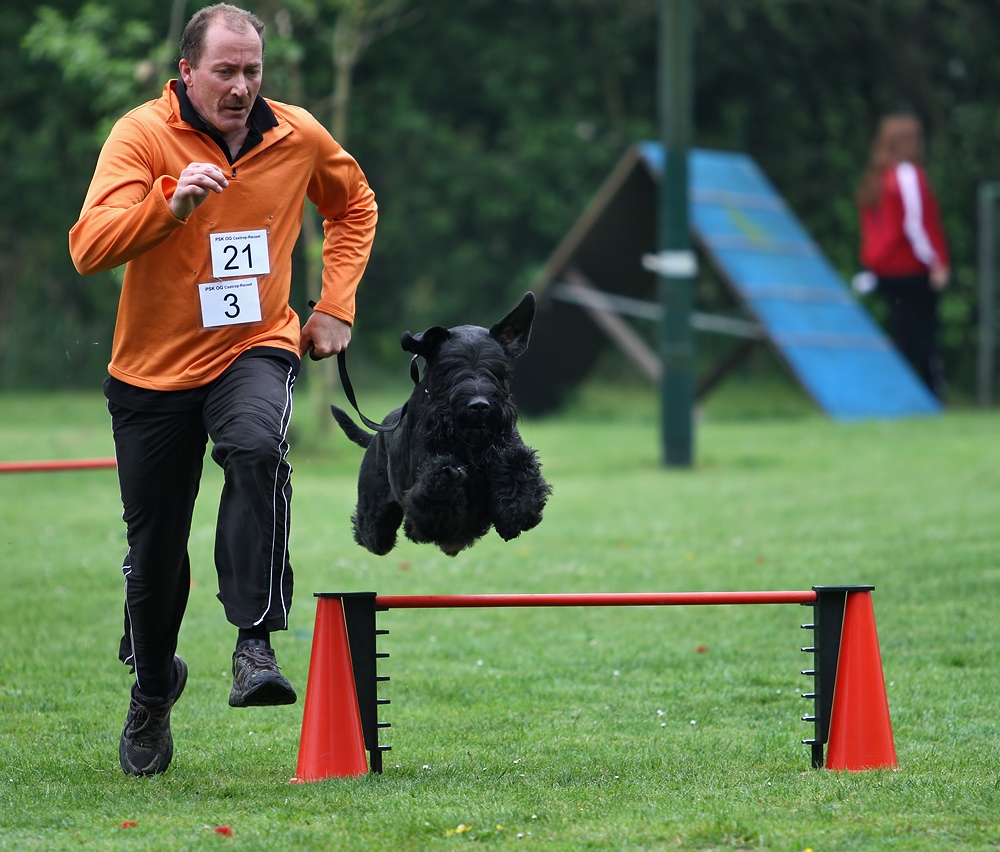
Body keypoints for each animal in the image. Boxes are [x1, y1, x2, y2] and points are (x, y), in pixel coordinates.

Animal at [334, 292, 556, 560]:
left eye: (497, 367)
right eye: (450, 367)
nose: (479, 405)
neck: (471, 445)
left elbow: (519, 471)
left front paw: (515, 508)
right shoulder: (422, 496)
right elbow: (433, 497)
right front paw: (447, 475)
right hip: (375, 516)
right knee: (371, 531)